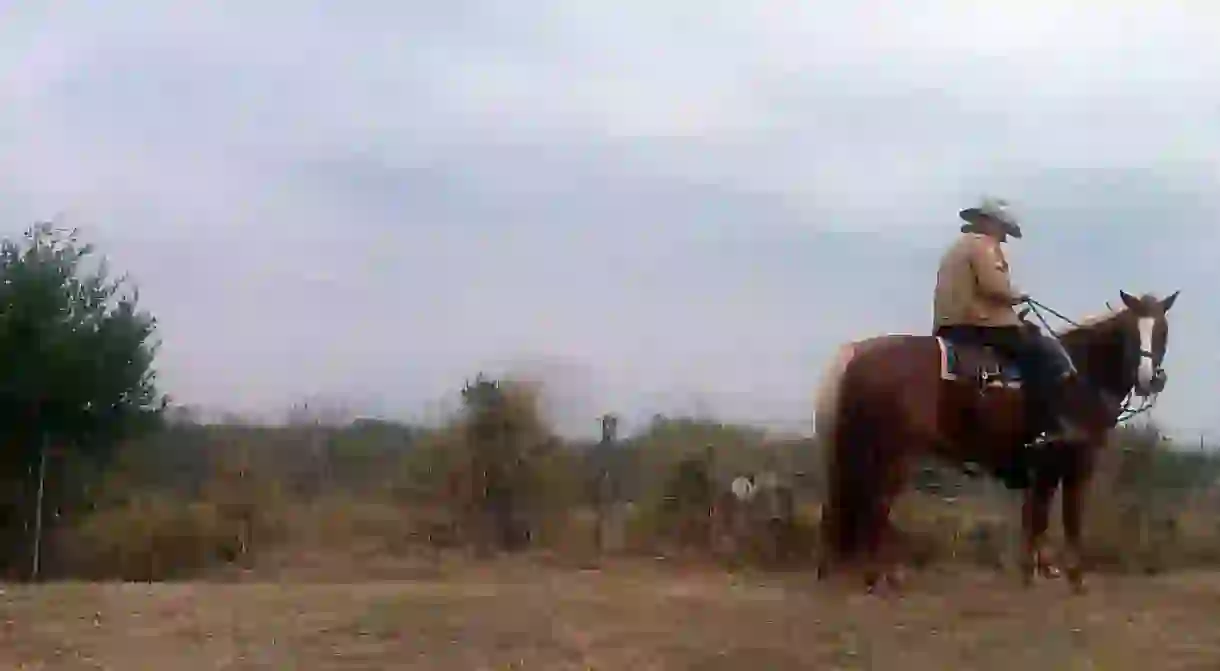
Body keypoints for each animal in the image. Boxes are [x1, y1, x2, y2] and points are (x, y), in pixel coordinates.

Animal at [814, 290, 1176, 595]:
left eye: (1162, 330)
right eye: (1131, 333)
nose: (1150, 379)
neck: (1079, 375)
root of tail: (858, 353)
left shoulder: (1044, 468)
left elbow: (1037, 517)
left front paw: (1035, 571)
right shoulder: (1072, 462)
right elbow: (1065, 518)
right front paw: (1073, 578)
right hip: (892, 455)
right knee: (876, 505)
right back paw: (879, 577)